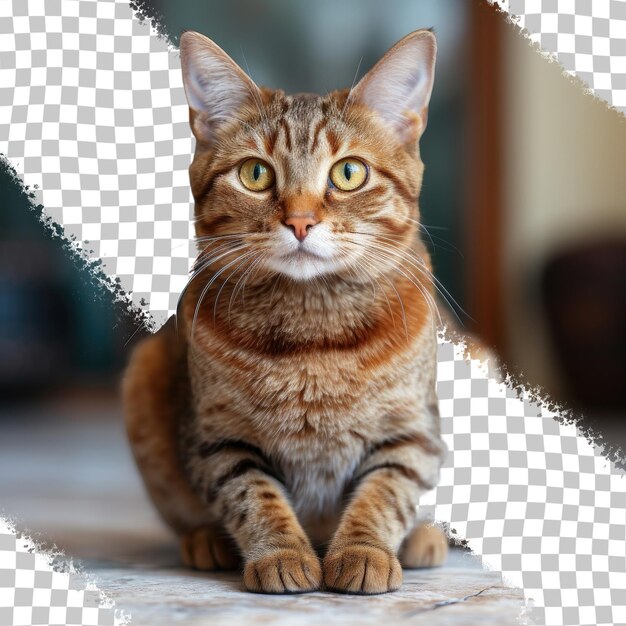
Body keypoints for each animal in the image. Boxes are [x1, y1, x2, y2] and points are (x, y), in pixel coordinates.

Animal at [124, 28, 450, 596]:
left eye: (349, 173)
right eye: (256, 174)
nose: (299, 221)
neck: (313, 335)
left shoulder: (413, 431)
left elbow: (386, 492)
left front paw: (365, 550)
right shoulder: (219, 439)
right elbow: (254, 497)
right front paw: (281, 554)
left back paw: (423, 539)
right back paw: (206, 540)